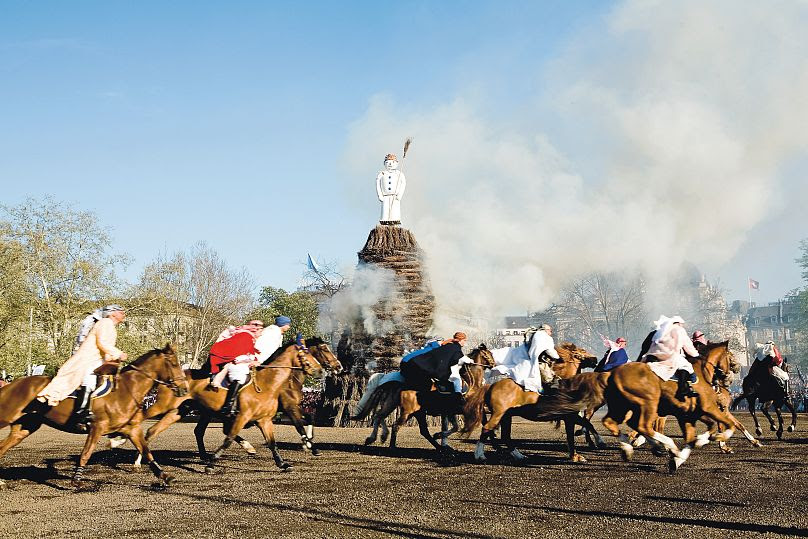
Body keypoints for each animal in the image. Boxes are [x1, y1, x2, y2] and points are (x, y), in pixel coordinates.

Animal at [0, 346, 188, 490]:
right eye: (174, 363)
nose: (185, 388)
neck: (126, 390)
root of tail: (12, 384)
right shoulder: (97, 427)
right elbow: (86, 453)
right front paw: (76, 480)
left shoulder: (131, 429)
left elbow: (146, 451)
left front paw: (164, 476)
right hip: (7, 417)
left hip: (24, 427)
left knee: (3, 446)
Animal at [600, 342, 740, 472]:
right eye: (730, 355)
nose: (734, 371)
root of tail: (614, 374)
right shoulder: (709, 408)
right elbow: (729, 425)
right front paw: (716, 438)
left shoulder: (689, 415)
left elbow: (696, 435)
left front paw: (678, 459)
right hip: (648, 405)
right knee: (643, 426)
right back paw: (666, 446)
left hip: (621, 407)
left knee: (612, 422)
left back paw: (633, 448)